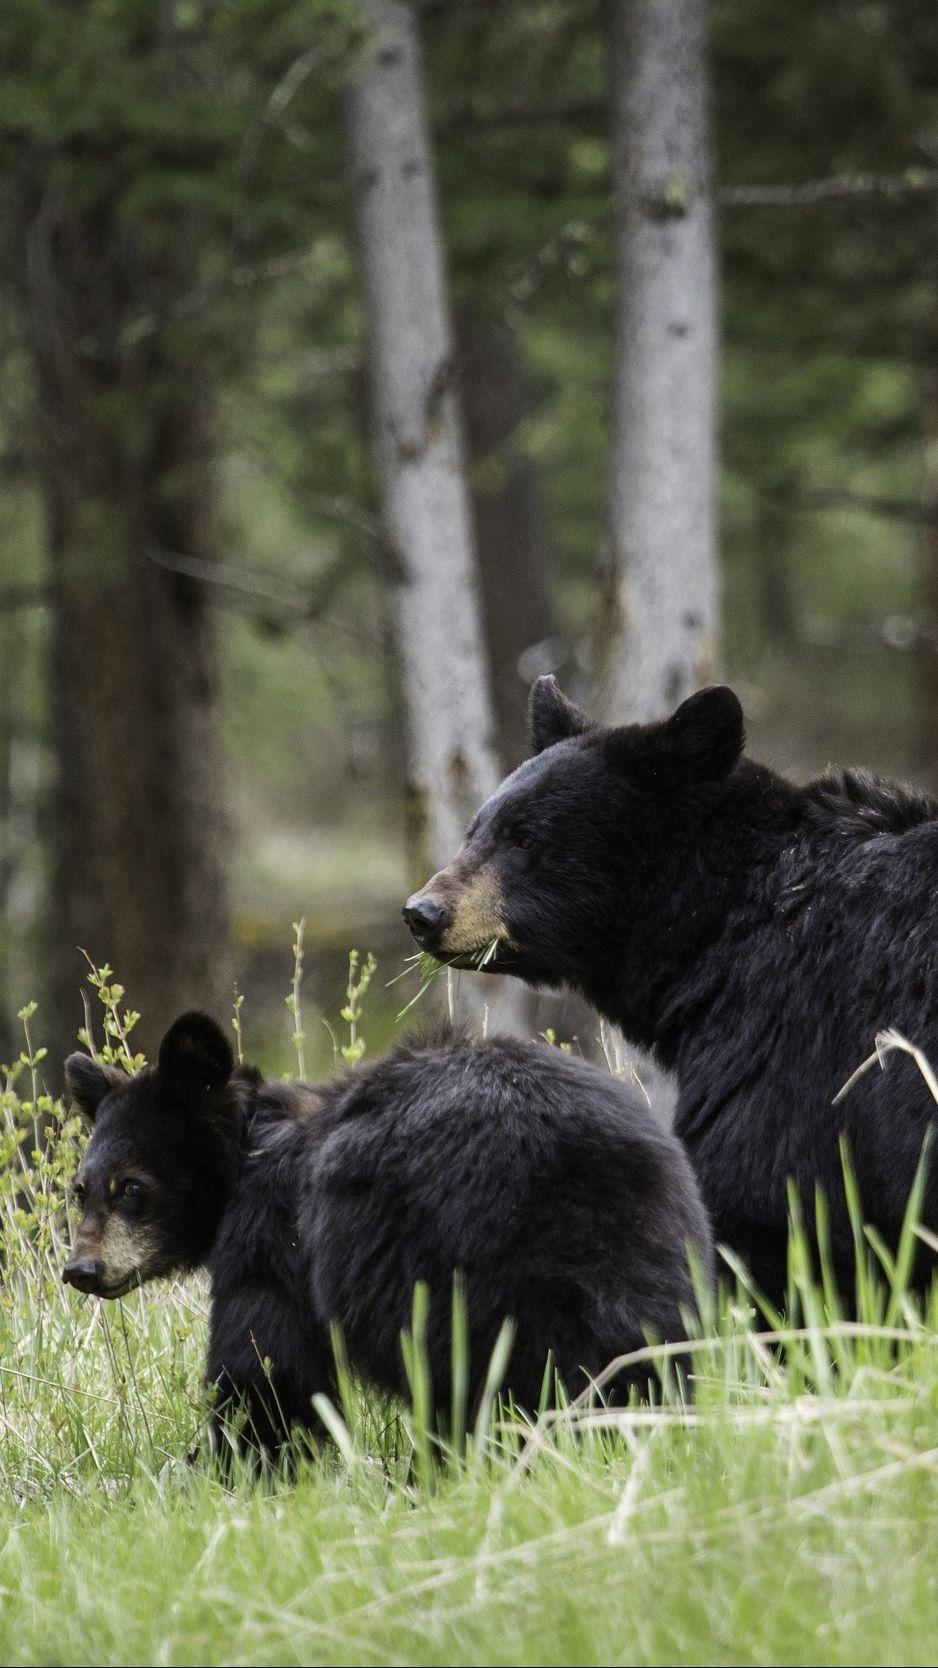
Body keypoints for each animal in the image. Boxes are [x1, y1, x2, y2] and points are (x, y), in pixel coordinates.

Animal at [62, 1011, 712, 1458]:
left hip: (460, 1267)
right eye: (80, 1188)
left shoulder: (274, 1237)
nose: (81, 1269)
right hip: (659, 1255)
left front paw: (237, 1465)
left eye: (131, 1187)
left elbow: (266, 1363)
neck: (250, 1149)